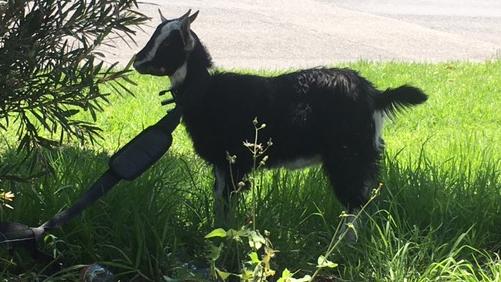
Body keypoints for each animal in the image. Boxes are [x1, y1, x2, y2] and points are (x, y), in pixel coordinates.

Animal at [132, 10, 426, 223]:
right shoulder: (222, 164)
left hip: (348, 155)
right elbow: (219, 202)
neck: (206, 91)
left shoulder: (236, 163)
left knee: (355, 203)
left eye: (169, 43)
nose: (137, 61)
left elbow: (228, 203)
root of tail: (374, 94)